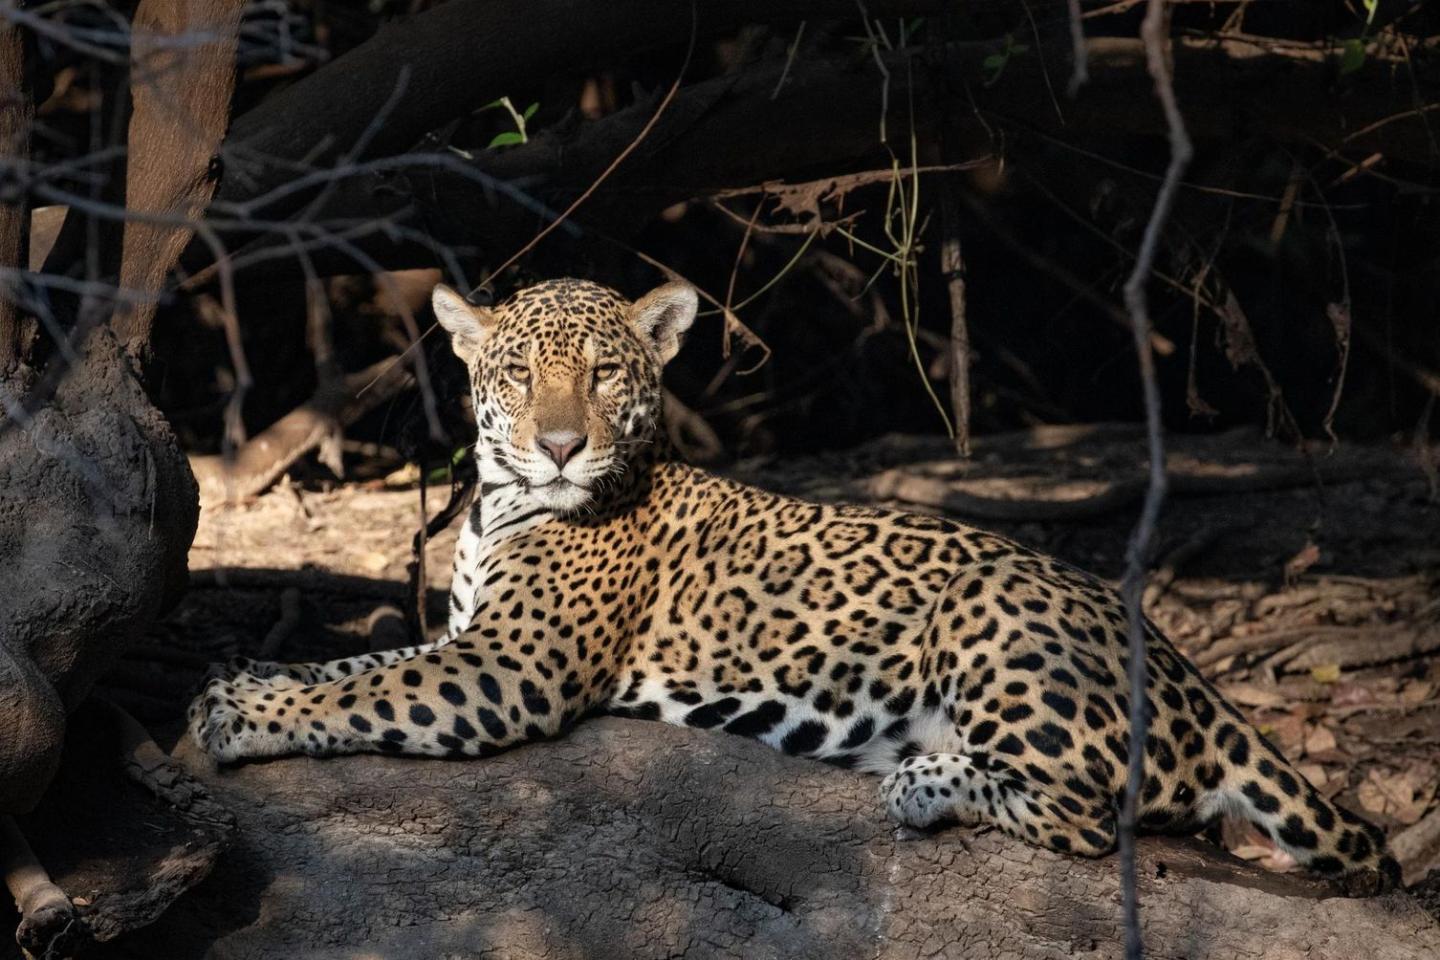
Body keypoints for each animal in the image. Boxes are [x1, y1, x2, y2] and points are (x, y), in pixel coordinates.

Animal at [189, 276, 1399, 892]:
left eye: (607, 373)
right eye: (518, 374)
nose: (561, 445)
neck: (499, 502)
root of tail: (1201, 683)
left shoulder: (510, 667)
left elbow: (362, 689)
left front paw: (242, 713)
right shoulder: (468, 641)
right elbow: (364, 660)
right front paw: (241, 681)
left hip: (994, 620)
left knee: (1092, 817)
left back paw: (927, 781)